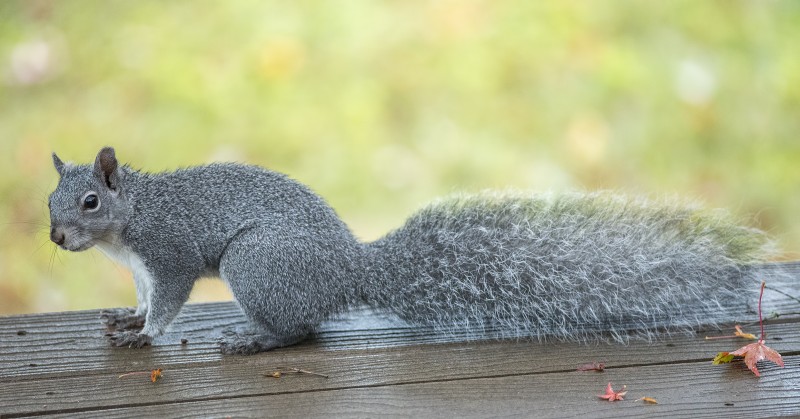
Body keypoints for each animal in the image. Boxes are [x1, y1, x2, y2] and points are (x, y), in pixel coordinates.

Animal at [48, 147, 774, 354]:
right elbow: (144, 298)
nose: (54, 237)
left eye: (88, 202)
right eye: (49, 198)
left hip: (255, 263)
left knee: (301, 329)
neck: (130, 222)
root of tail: (350, 269)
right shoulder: (141, 268)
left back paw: (255, 338)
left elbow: (168, 299)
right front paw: (124, 320)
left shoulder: (167, 254)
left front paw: (145, 335)